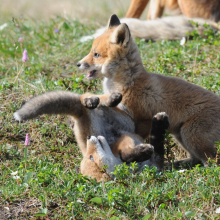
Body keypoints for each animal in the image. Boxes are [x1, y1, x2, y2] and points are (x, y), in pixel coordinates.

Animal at [77, 14, 220, 167]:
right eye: (91, 52)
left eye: (96, 54)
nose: (78, 64)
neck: (128, 82)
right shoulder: (124, 112)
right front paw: (90, 100)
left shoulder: (144, 119)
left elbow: (135, 138)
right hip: (181, 135)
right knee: (195, 159)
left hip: (191, 134)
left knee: (211, 162)